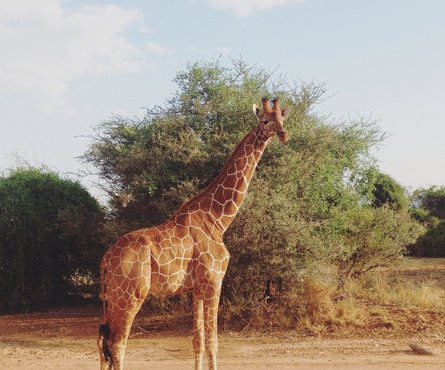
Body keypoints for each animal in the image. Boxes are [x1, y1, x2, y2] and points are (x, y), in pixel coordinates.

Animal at [97, 97, 292, 368]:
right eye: (264, 120)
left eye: (282, 119)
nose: (284, 134)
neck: (218, 219)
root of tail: (105, 259)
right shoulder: (213, 281)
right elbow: (213, 342)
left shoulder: (196, 288)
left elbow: (197, 341)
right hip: (131, 294)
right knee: (116, 343)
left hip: (110, 297)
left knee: (101, 340)